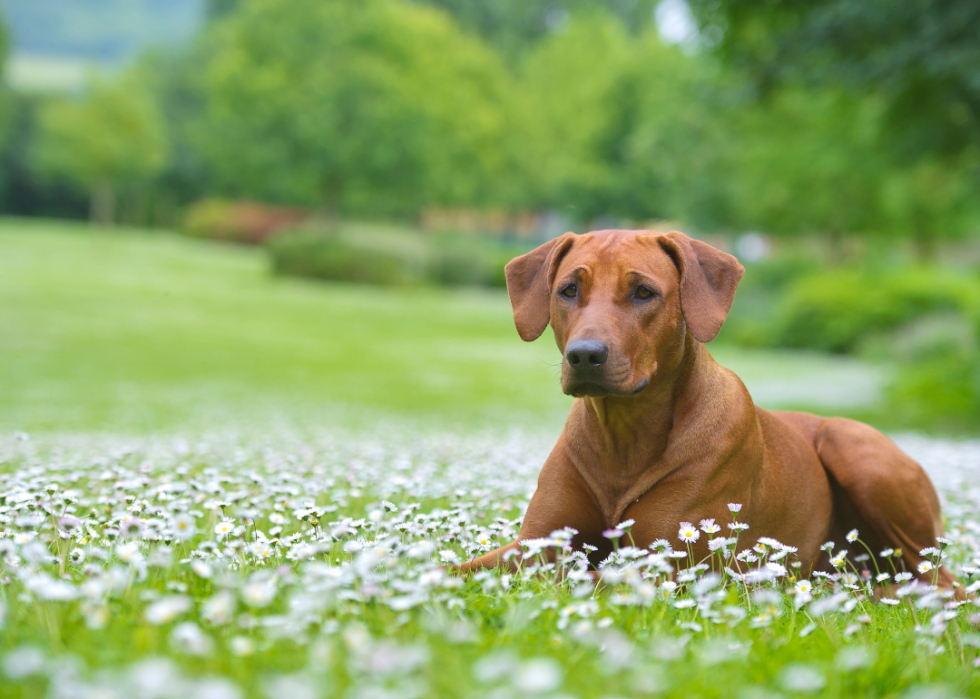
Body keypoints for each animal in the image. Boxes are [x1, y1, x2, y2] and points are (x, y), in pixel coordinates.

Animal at [460, 230, 956, 592]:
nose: (585, 355)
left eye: (643, 292)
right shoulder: (536, 542)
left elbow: (577, 576)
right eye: (568, 289)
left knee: (941, 583)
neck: (623, 435)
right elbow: (470, 567)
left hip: (850, 445)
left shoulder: (674, 561)